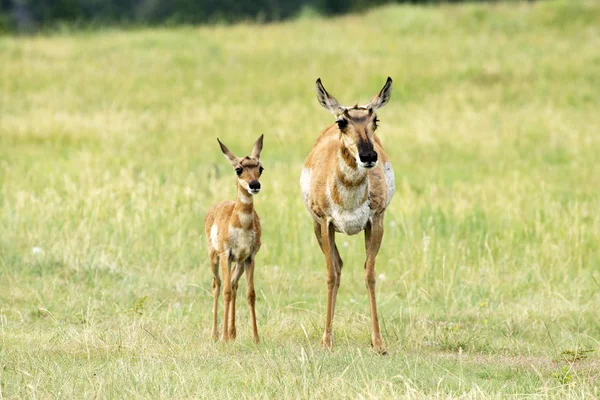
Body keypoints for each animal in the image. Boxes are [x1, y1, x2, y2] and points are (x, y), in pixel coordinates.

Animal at [205, 135, 264, 344]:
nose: (254, 185)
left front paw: (256, 338)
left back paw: (232, 333)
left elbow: (251, 294)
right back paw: (216, 334)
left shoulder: (249, 257)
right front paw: (222, 338)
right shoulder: (226, 255)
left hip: (238, 263)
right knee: (218, 285)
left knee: (233, 283)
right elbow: (226, 292)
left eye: (260, 168)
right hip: (214, 258)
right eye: (239, 169)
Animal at [298, 78, 394, 354]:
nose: (368, 156)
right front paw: (326, 340)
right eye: (342, 122)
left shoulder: (376, 222)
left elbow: (369, 274)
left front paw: (378, 343)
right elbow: (331, 275)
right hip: (316, 228)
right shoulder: (325, 223)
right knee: (337, 267)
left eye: (375, 120)